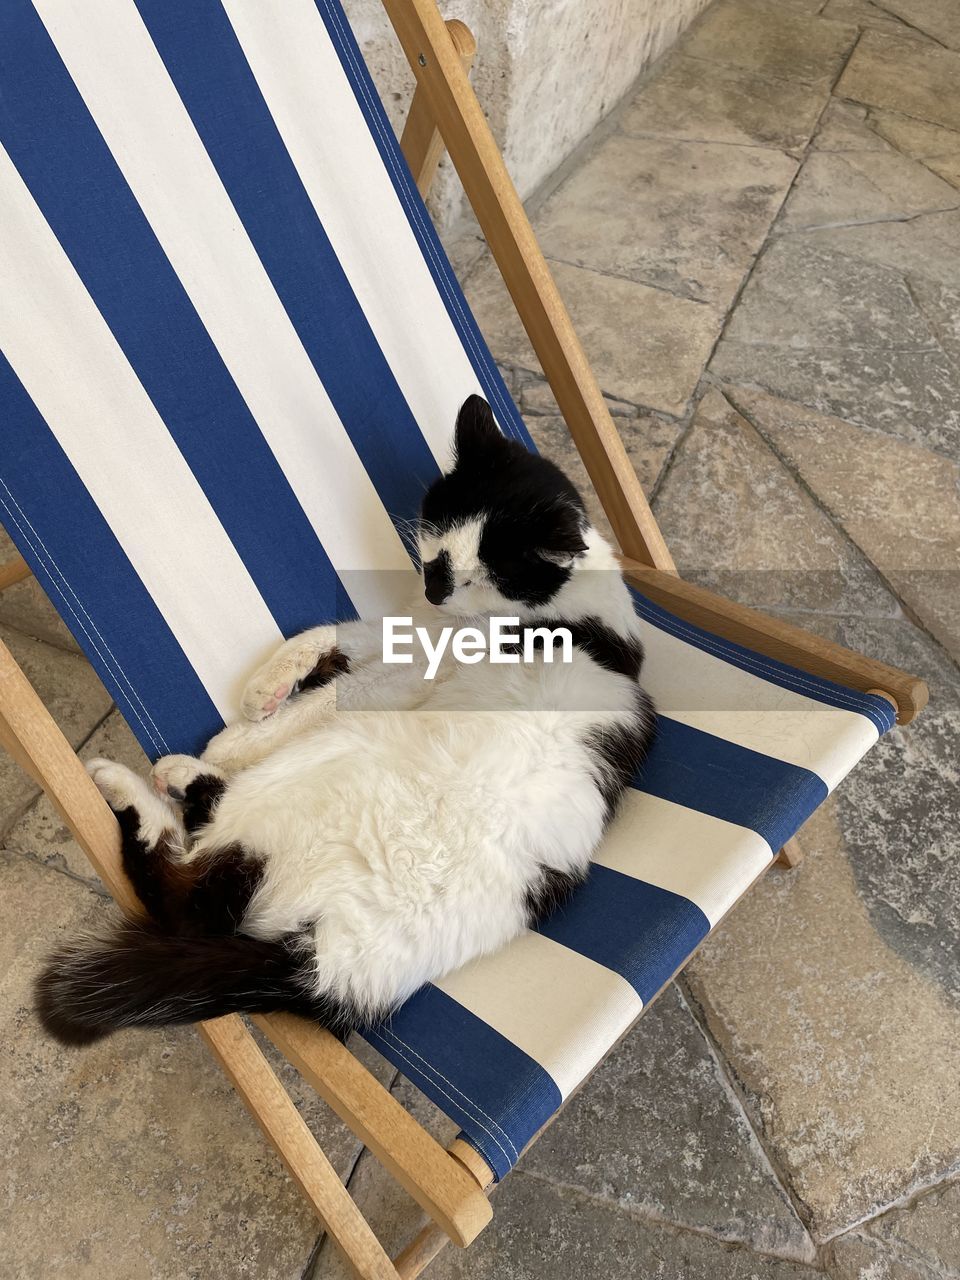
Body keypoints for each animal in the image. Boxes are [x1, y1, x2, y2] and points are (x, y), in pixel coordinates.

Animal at [35, 394, 655, 1044]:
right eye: (439, 552)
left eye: (480, 574)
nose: (434, 590)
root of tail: (324, 972)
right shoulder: (407, 628)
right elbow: (326, 634)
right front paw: (264, 689)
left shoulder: (409, 675)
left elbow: (328, 695)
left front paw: (238, 738)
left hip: (317, 769)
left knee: (183, 883)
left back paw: (142, 777)